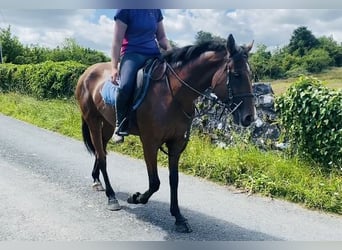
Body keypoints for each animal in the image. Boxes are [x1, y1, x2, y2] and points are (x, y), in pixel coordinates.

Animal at [75, 33, 256, 232]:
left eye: (251, 75)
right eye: (236, 74)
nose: (249, 117)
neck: (173, 94)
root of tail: (87, 72)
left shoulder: (176, 143)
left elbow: (173, 180)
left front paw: (178, 217)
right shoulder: (150, 142)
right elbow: (155, 182)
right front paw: (136, 198)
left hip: (107, 124)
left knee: (101, 152)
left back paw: (96, 180)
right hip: (93, 121)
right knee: (102, 156)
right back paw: (111, 196)